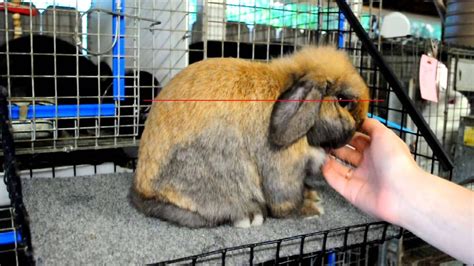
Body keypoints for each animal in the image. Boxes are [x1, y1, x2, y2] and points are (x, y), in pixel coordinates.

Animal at [130, 46, 370, 229]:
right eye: (344, 100)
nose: (360, 125)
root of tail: (143, 192)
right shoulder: (283, 167)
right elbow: (284, 201)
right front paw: (310, 209)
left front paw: (310, 195)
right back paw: (248, 214)